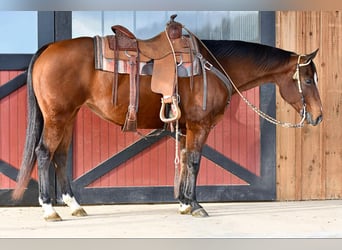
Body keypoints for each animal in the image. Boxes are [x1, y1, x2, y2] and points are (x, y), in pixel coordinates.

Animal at [12, 27, 322, 221]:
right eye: (308, 80)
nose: (318, 116)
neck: (214, 66)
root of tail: (49, 48)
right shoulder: (199, 126)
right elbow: (195, 162)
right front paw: (195, 206)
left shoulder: (186, 128)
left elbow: (184, 160)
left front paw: (184, 203)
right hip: (58, 116)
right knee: (43, 153)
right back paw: (49, 209)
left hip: (69, 116)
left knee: (61, 156)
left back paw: (75, 206)